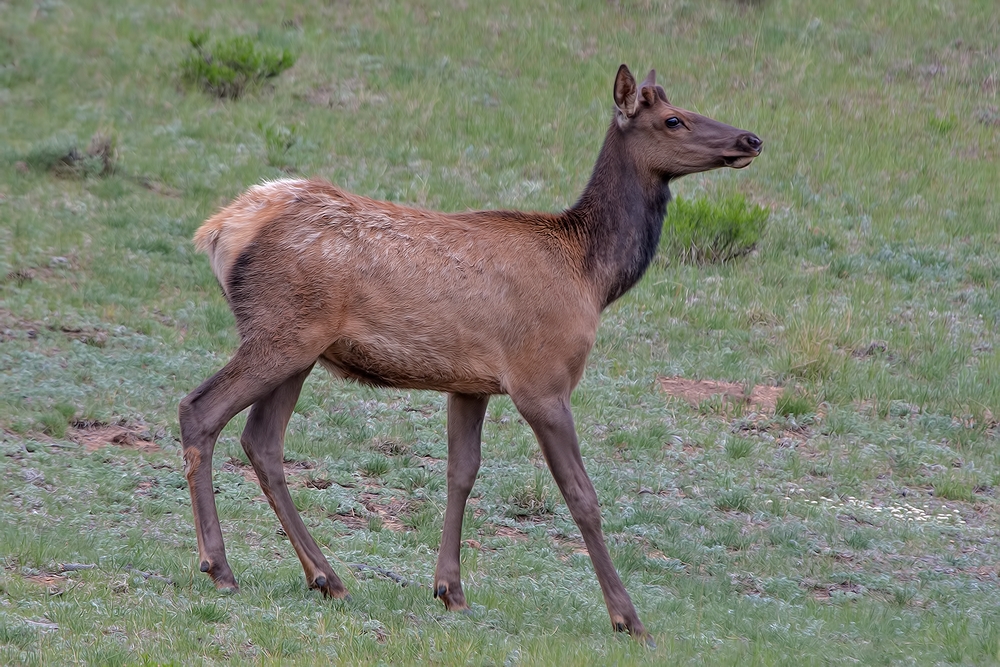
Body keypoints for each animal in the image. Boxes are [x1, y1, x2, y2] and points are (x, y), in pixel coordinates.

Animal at [180, 64, 760, 640]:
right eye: (673, 119)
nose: (750, 139)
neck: (593, 278)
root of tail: (220, 228)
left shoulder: (470, 384)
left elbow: (461, 473)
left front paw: (450, 590)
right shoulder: (542, 380)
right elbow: (582, 495)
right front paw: (628, 618)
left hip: (299, 349)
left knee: (262, 441)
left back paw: (326, 576)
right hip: (281, 333)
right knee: (199, 409)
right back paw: (221, 568)